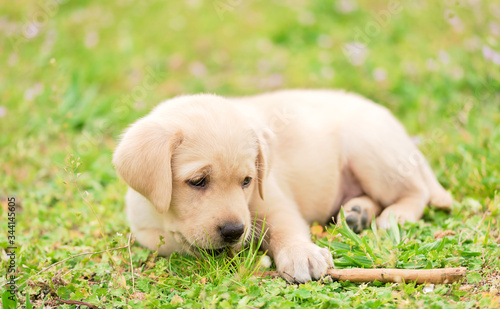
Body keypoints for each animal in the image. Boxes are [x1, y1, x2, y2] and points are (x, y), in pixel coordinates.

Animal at [113, 88, 454, 282]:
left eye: (247, 181)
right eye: (197, 181)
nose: (234, 231)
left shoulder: (273, 199)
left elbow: (286, 228)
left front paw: (301, 253)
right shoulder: (145, 229)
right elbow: (173, 242)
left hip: (371, 151)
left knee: (417, 191)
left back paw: (395, 215)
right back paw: (358, 212)